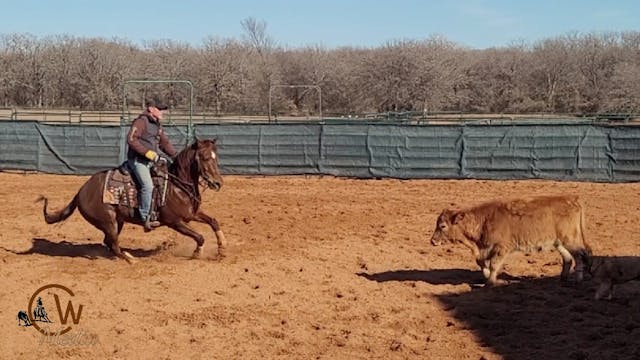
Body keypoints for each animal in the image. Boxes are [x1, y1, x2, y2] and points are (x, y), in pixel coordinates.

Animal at [37, 138, 226, 262]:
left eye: (216, 157)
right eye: (205, 158)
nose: (218, 183)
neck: (177, 185)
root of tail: (81, 191)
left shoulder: (192, 214)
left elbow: (214, 221)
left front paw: (222, 249)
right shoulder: (175, 221)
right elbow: (200, 236)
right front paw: (197, 253)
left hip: (117, 221)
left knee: (109, 242)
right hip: (108, 221)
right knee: (113, 244)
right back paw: (130, 259)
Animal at [430, 195, 592, 286]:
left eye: (443, 226)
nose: (432, 241)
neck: (484, 221)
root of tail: (572, 200)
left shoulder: (502, 248)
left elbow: (494, 264)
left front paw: (492, 282)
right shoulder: (485, 249)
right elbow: (481, 263)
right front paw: (488, 277)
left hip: (570, 239)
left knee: (580, 255)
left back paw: (578, 280)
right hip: (559, 242)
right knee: (568, 258)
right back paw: (563, 278)